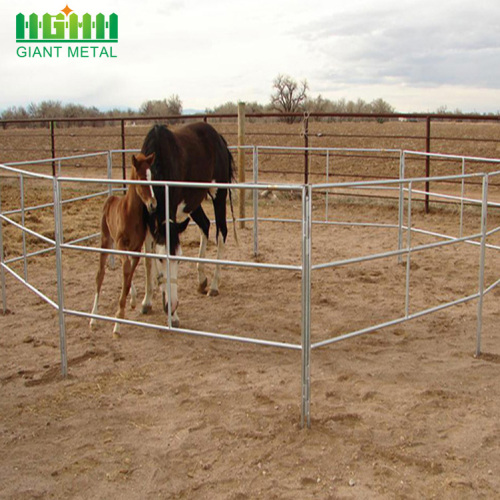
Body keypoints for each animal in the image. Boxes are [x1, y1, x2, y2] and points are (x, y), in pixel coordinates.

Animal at [90, 153, 156, 336]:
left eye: (151, 176)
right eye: (140, 178)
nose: (153, 204)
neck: (130, 212)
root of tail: (111, 198)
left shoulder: (136, 248)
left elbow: (129, 272)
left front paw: (125, 307)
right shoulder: (120, 243)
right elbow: (126, 269)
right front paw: (118, 320)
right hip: (105, 241)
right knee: (100, 275)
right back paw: (93, 318)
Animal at [139, 120, 236, 324]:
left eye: (179, 259)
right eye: (162, 258)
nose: (172, 305)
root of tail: (218, 137)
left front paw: (173, 317)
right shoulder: (149, 222)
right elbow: (147, 260)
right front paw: (147, 302)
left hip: (218, 194)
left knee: (221, 232)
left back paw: (213, 285)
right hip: (194, 203)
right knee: (205, 225)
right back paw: (201, 280)